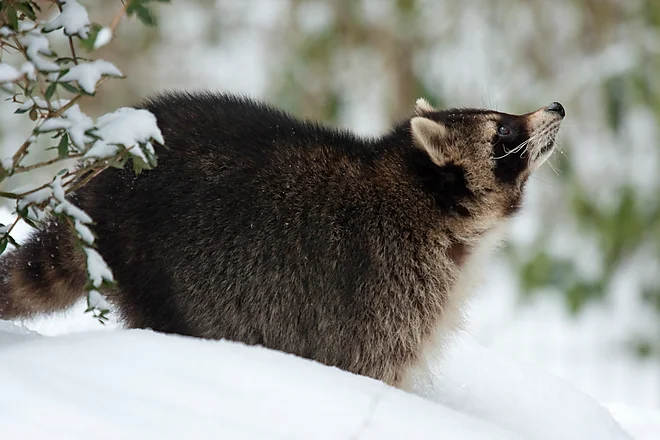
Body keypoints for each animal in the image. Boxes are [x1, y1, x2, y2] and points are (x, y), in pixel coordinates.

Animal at [0, 93, 564, 387]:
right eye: (503, 134)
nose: (555, 107)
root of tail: (95, 186)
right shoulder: (385, 291)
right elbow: (369, 370)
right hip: (156, 264)